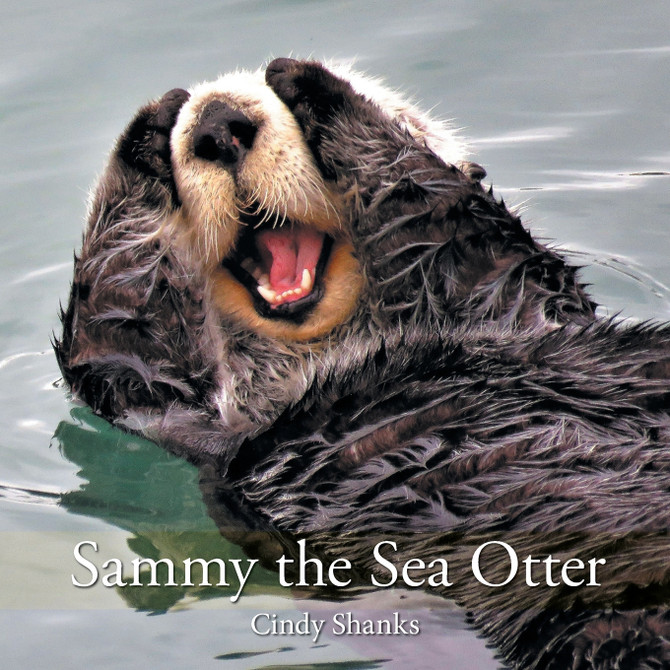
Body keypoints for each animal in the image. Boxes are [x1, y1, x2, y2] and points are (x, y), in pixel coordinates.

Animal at [55, 59, 670, 669]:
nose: (219, 125)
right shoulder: (159, 400)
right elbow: (120, 325)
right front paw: (146, 132)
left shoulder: (503, 288)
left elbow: (435, 209)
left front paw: (308, 81)